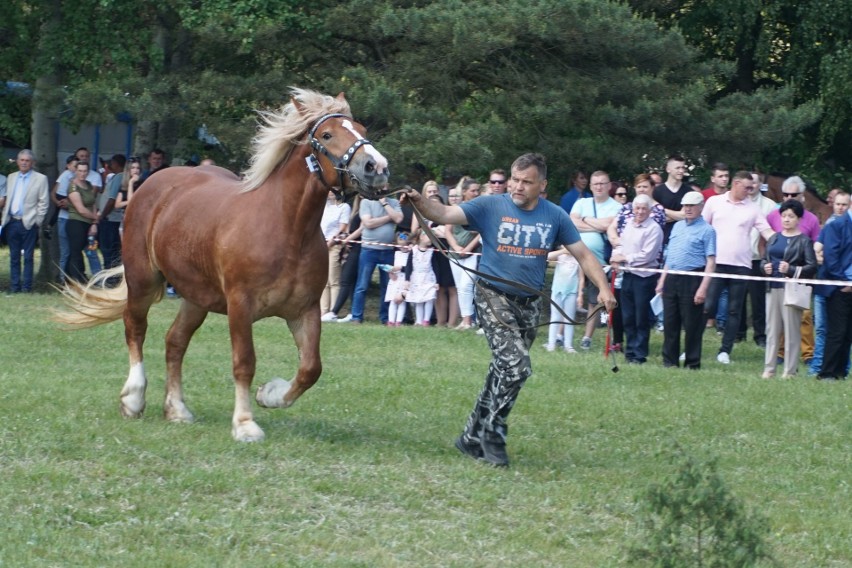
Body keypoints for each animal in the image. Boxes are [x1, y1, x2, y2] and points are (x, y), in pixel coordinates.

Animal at [55, 90, 392, 444]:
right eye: (327, 135)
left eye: (361, 128)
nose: (376, 167)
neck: (287, 227)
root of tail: (152, 182)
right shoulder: (239, 306)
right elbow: (244, 362)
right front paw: (244, 424)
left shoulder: (305, 310)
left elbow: (311, 368)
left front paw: (270, 394)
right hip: (142, 280)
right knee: (135, 328)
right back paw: (133, 397)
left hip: (195, 296)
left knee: (175, 341)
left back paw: (177, 409)